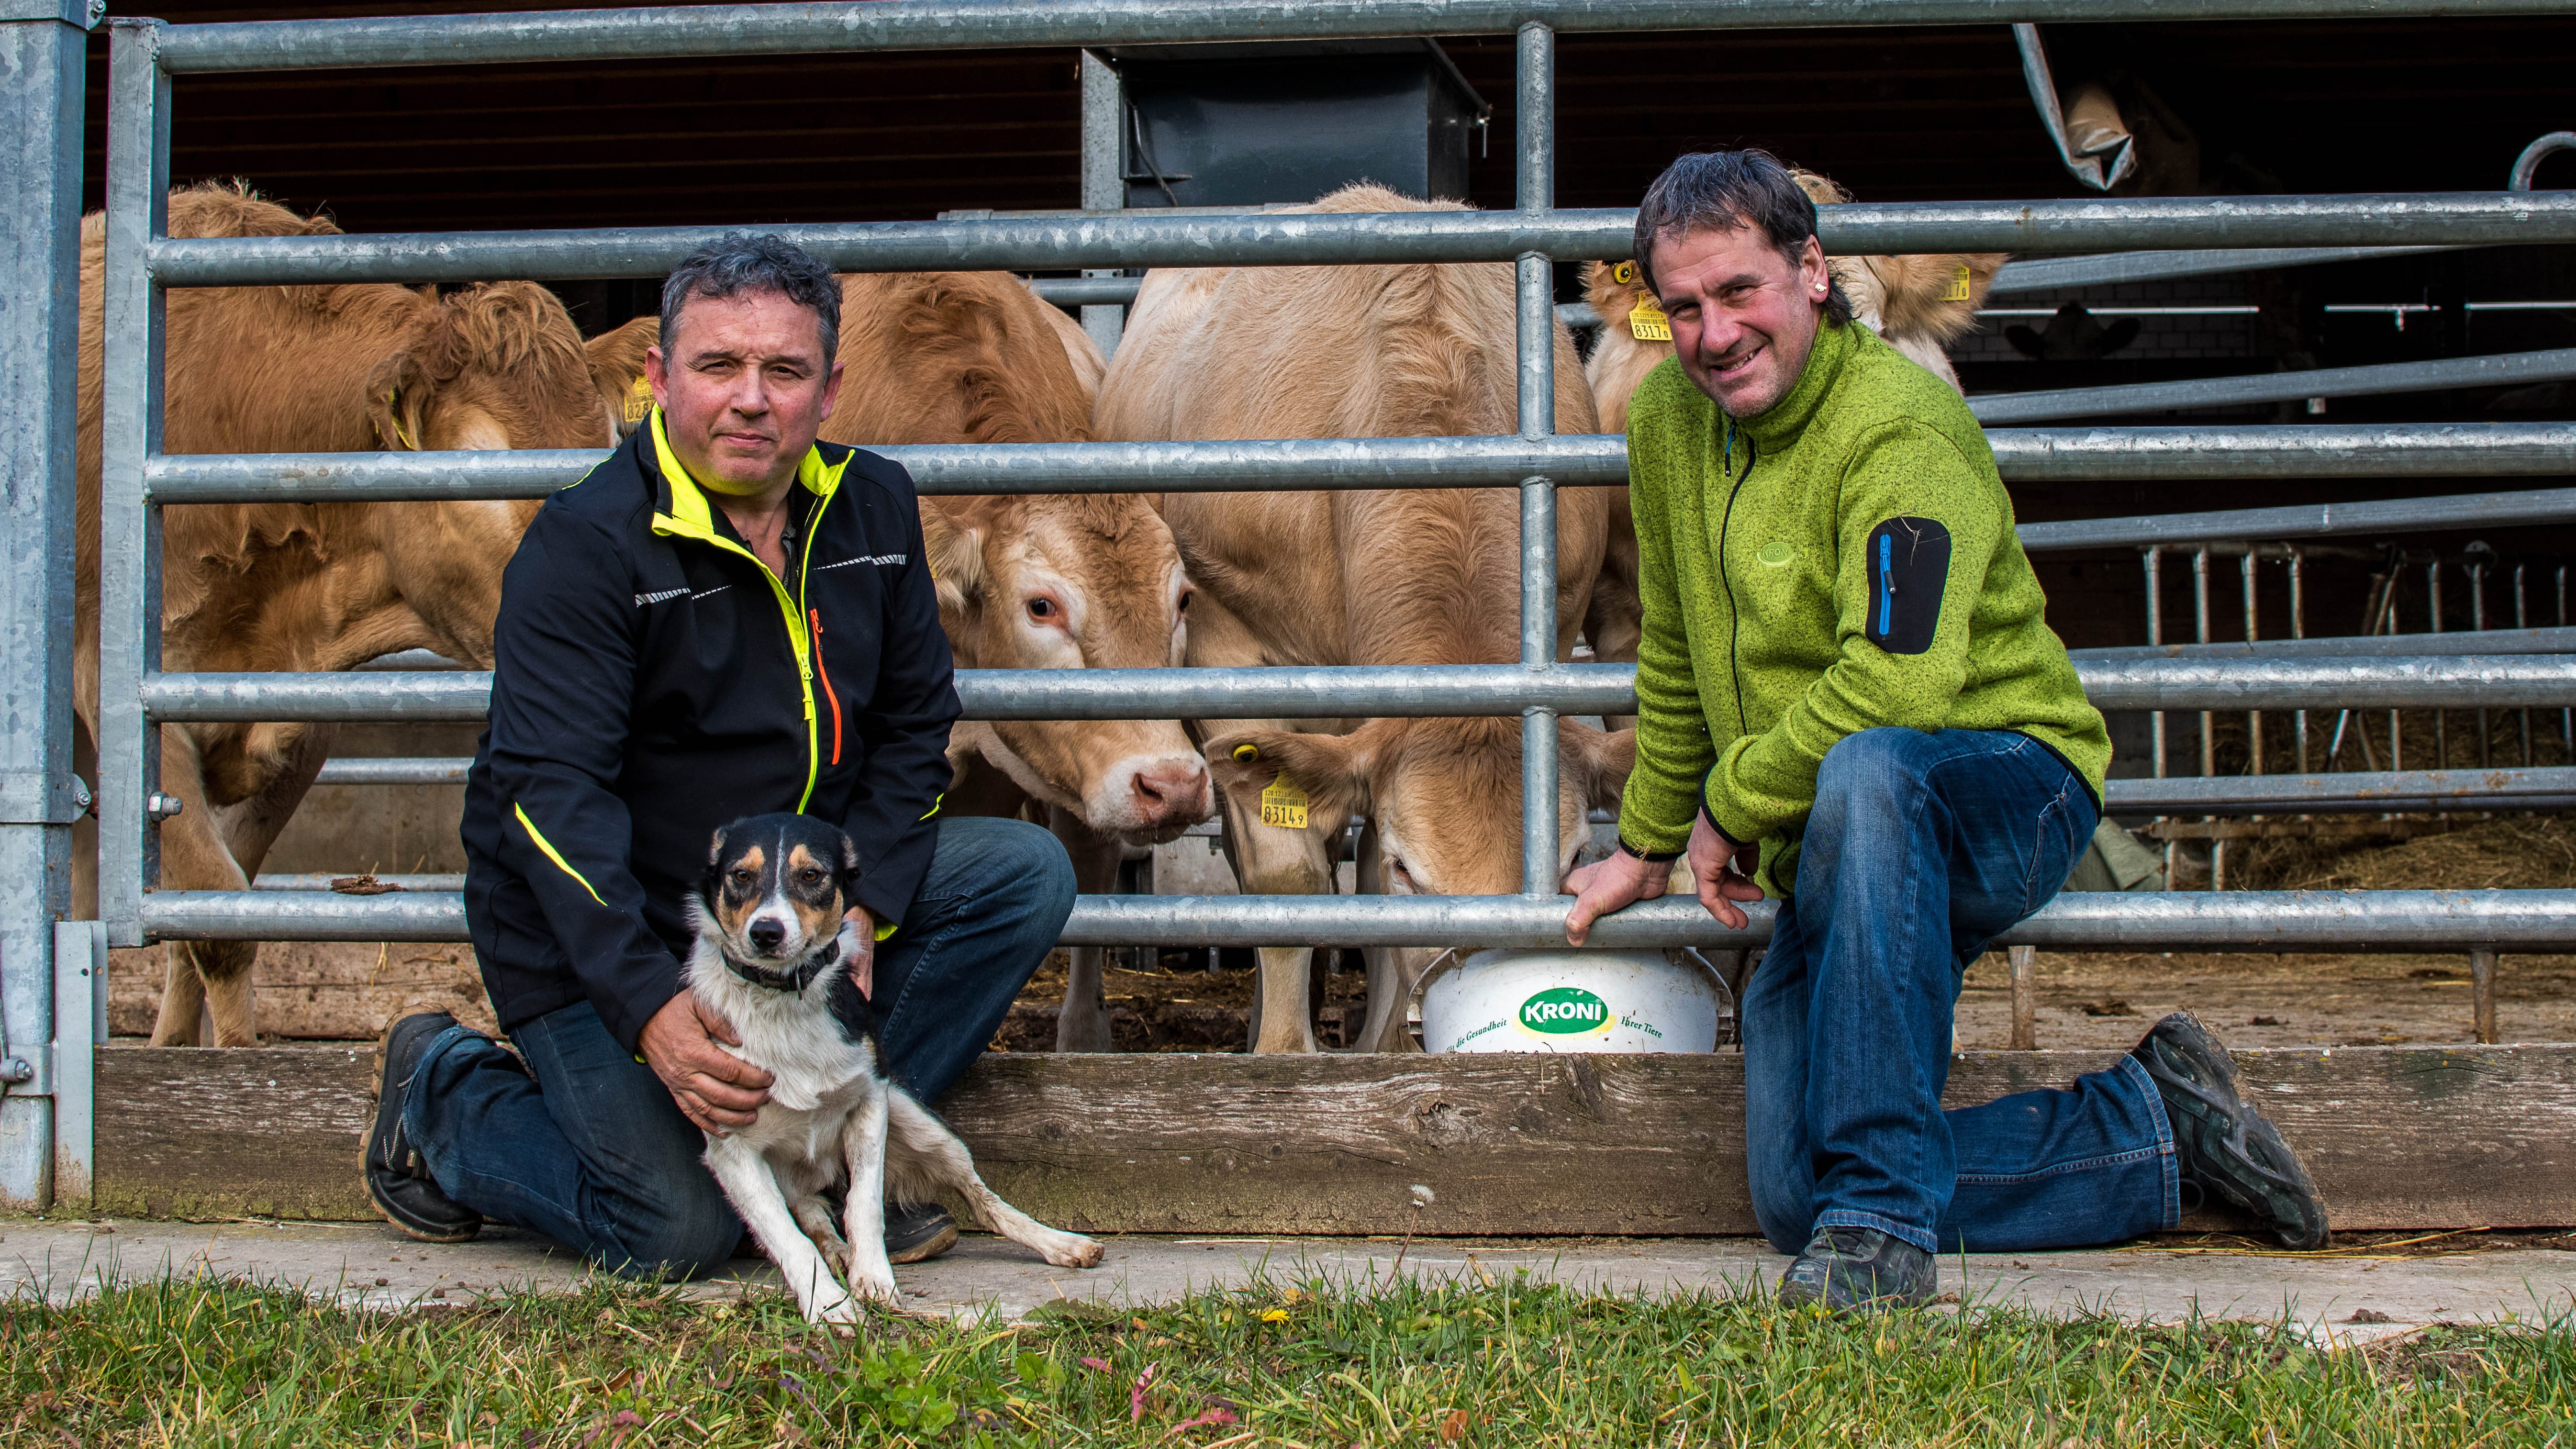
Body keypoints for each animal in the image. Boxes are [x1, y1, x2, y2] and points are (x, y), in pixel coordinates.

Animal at [75, 181, 608, 1050]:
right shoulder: (126, 701)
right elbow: (219, 926)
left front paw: (171, 1050)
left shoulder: (302, 724)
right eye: (482, 468)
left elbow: (204, 918)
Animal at [680, 818, 1102, 1328]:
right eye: (740, 876)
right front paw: (827, 1302)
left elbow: (864, 1204)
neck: (784, 1001)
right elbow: (788, 1237)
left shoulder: (869, 1104)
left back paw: (1061, 1243)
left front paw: (874, 1277)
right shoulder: (731, 1148)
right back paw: (836, 1253)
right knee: (812, 1218)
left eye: (811, 875)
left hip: (924, 1127)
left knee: (983, 1201)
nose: (766, 932)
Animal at [1092, 186, 1628, 1060]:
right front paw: (1282, 1052)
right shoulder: (1229, 646)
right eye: (1419, 871)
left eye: (1575, 855)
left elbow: (1366, 890)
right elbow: (1290, 880)